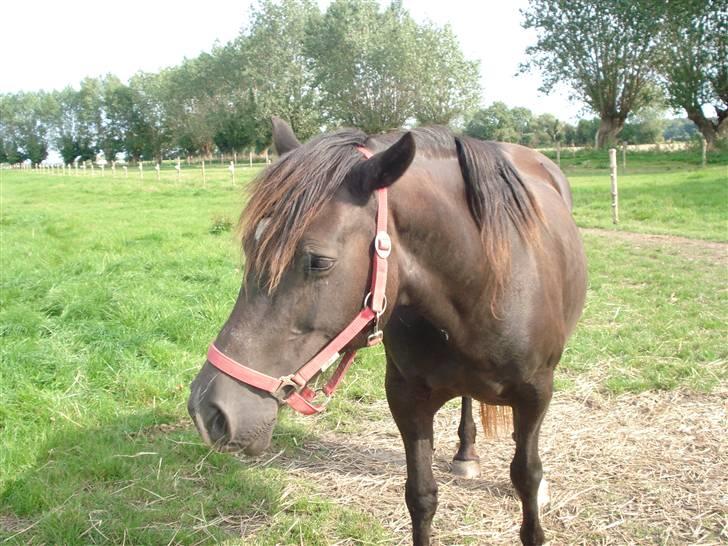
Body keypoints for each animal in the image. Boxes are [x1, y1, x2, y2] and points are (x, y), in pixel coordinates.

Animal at [186, 119, 584, 544]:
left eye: (319, 261)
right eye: (250, 246)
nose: (208, 409)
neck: (486, 283)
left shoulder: (535, 395)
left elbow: (527, 478)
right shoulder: (406, 398)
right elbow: (421, 496)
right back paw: (466, 454)